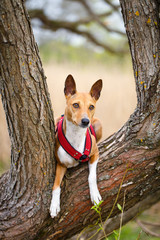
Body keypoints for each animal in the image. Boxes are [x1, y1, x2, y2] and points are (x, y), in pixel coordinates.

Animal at [49, 74, 102, 218]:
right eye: (76, 105)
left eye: (91, 107)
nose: (85, 121)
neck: (76, 135)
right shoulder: (61, 164)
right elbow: (56, 185)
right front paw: (54, 205)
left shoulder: (95, 153)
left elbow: (92, 177)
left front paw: (95, 195)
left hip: (98, 124)